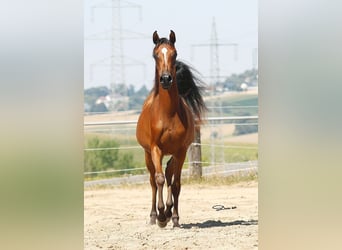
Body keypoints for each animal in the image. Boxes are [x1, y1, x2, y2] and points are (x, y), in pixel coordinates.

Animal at [136, 30, 206, 228]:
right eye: (155, 55)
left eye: (174, 54)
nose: (166, 79)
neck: (167, 113)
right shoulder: (155, 149)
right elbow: (159, 179)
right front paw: (160, 216)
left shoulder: (180, 151)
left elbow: (175, 184)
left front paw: (172, 216)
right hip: (148, 155)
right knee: (154, 181)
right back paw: (154, 216)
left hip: (173, 154)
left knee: (169, 174)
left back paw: (170, 214)